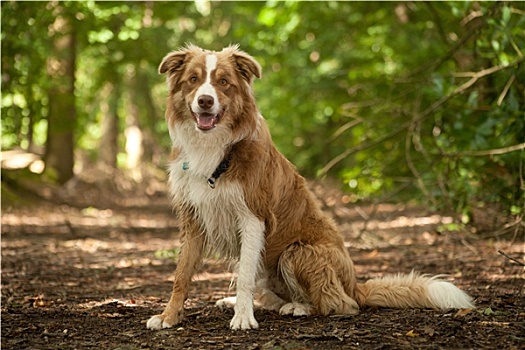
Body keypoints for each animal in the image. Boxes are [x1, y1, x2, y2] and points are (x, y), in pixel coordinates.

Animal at [144, 44, 474, 330]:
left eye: (223, 82)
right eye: (194, 80)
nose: (205, 101)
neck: (215, 148)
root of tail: (355, 284)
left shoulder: (252, 217)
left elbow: (245, 276)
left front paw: (243, 318)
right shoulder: (193, 217)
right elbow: (182, 274)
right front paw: (169, 316)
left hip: (298, 252)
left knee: (339, 304)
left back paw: (298, 307)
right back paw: (242, 302)